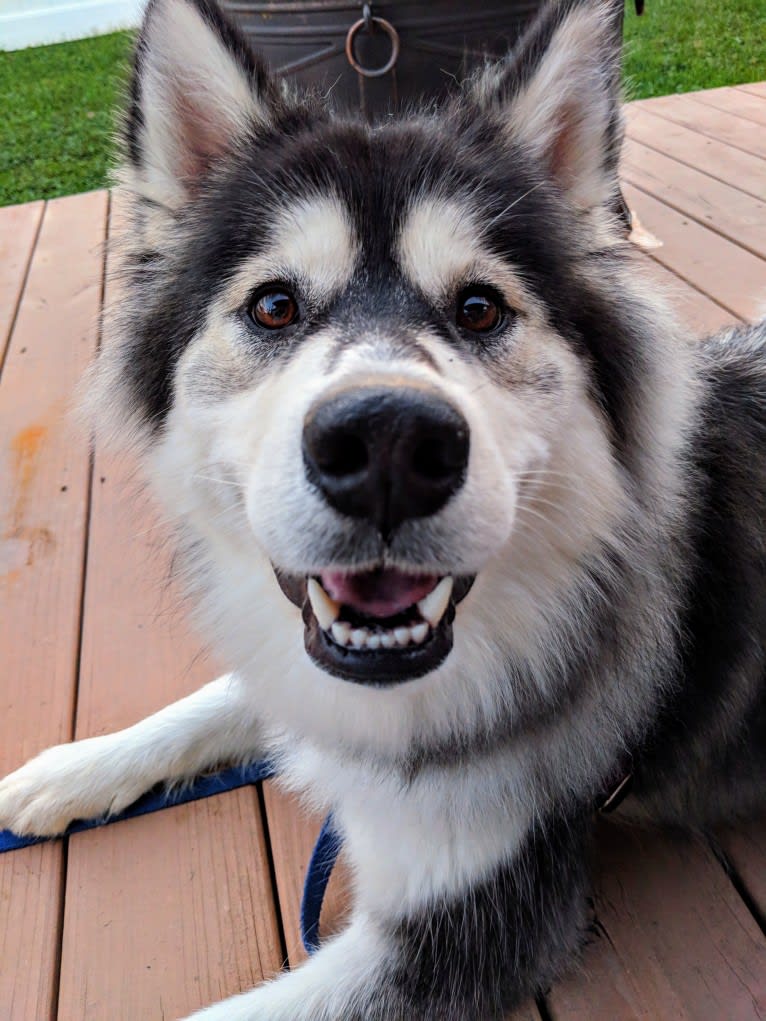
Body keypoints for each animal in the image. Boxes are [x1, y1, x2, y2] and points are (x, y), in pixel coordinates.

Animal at [1, 0, 766, 1016]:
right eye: (274, 306)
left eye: (479, 309)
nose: (388, 448)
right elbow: (221, 693)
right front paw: (67, 771)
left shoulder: (477, 916)